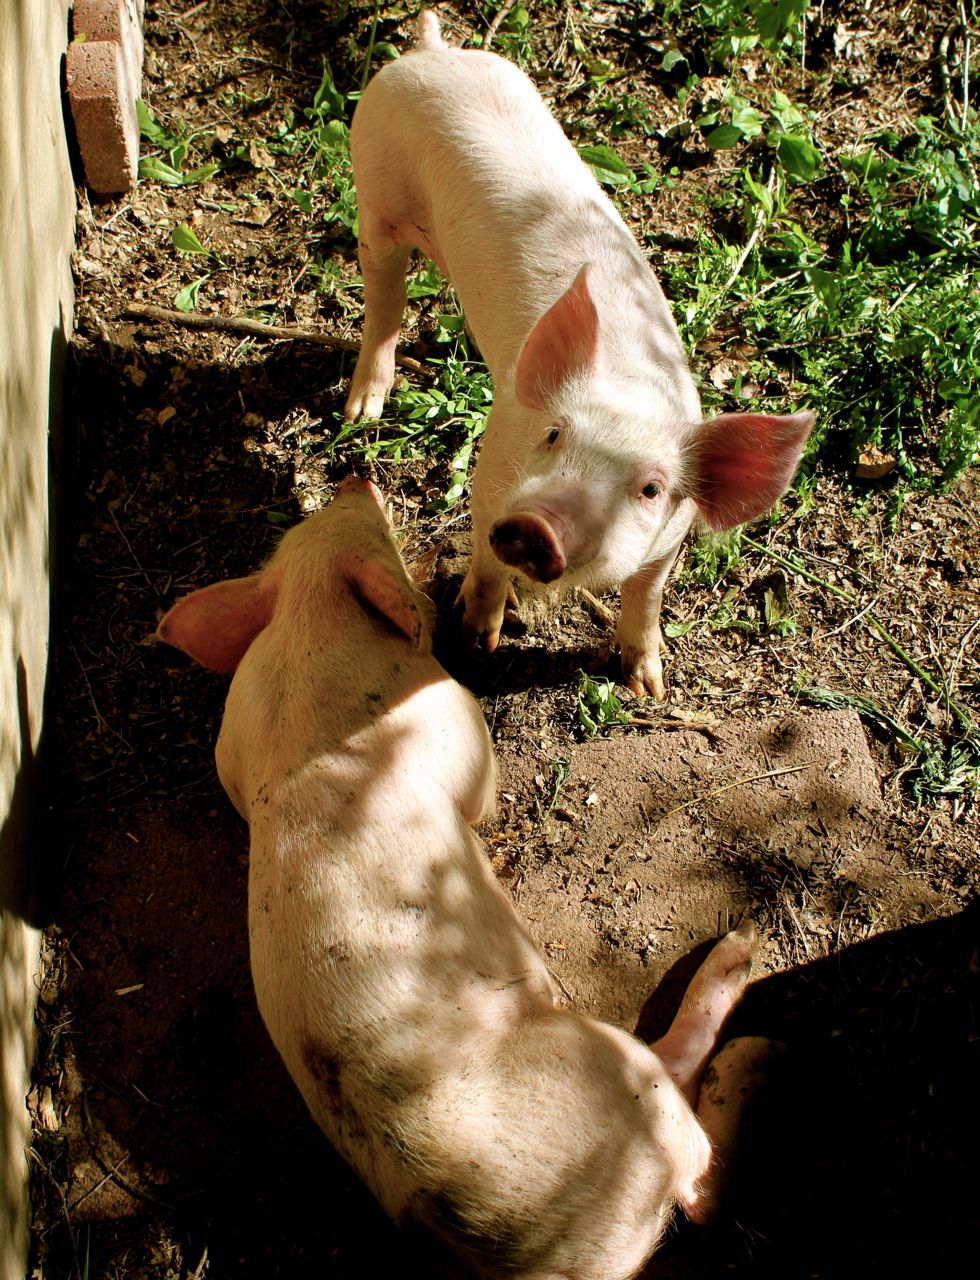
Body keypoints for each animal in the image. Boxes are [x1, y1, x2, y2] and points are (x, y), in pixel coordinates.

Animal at [157, 476, 779, 1279]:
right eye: (372, 528)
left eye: (316, 518)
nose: (355, 476)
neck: (304, 628)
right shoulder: (445, 714)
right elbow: (477, 785)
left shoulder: (236, 741)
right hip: (616, 1074)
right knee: (696, 1164)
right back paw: (751, 989)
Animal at [343, 11, 813, 699]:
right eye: (553, 434)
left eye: (650, 488)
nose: (538, 522)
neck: (631, 388)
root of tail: (430, 51)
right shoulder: (495, 469)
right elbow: (485, 558)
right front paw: (477, 641)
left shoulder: (668, 541)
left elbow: (646, 599)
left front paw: (648, 687)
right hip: (374, 185)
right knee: (383, 292)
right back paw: (362, 414)